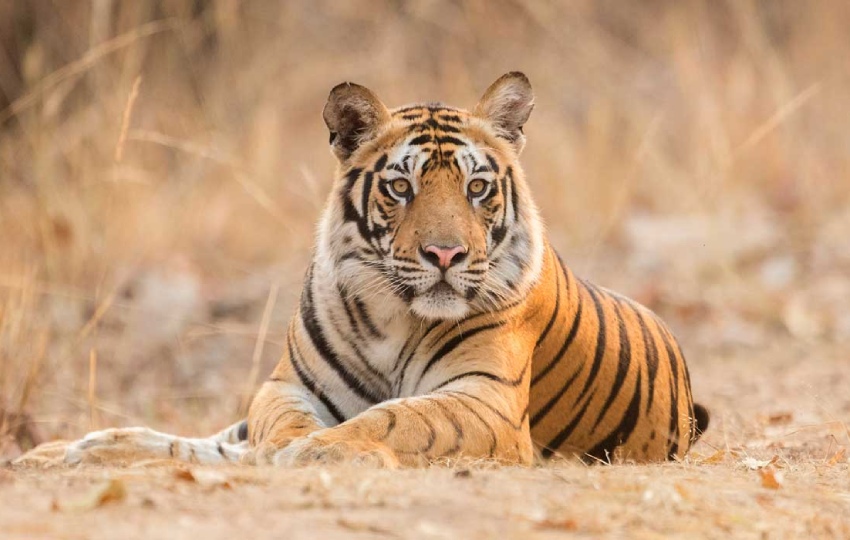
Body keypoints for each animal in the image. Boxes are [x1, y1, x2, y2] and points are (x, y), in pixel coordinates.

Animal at [17, 72, 708, 469]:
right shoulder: (286, 386)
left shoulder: (484, 402)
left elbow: (400, 416)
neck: (393, 318)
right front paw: (288, 447)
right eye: (402, 187)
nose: (445, 256)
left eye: (477, 188)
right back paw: (65, 451)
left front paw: (319, 451)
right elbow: (273, 424)